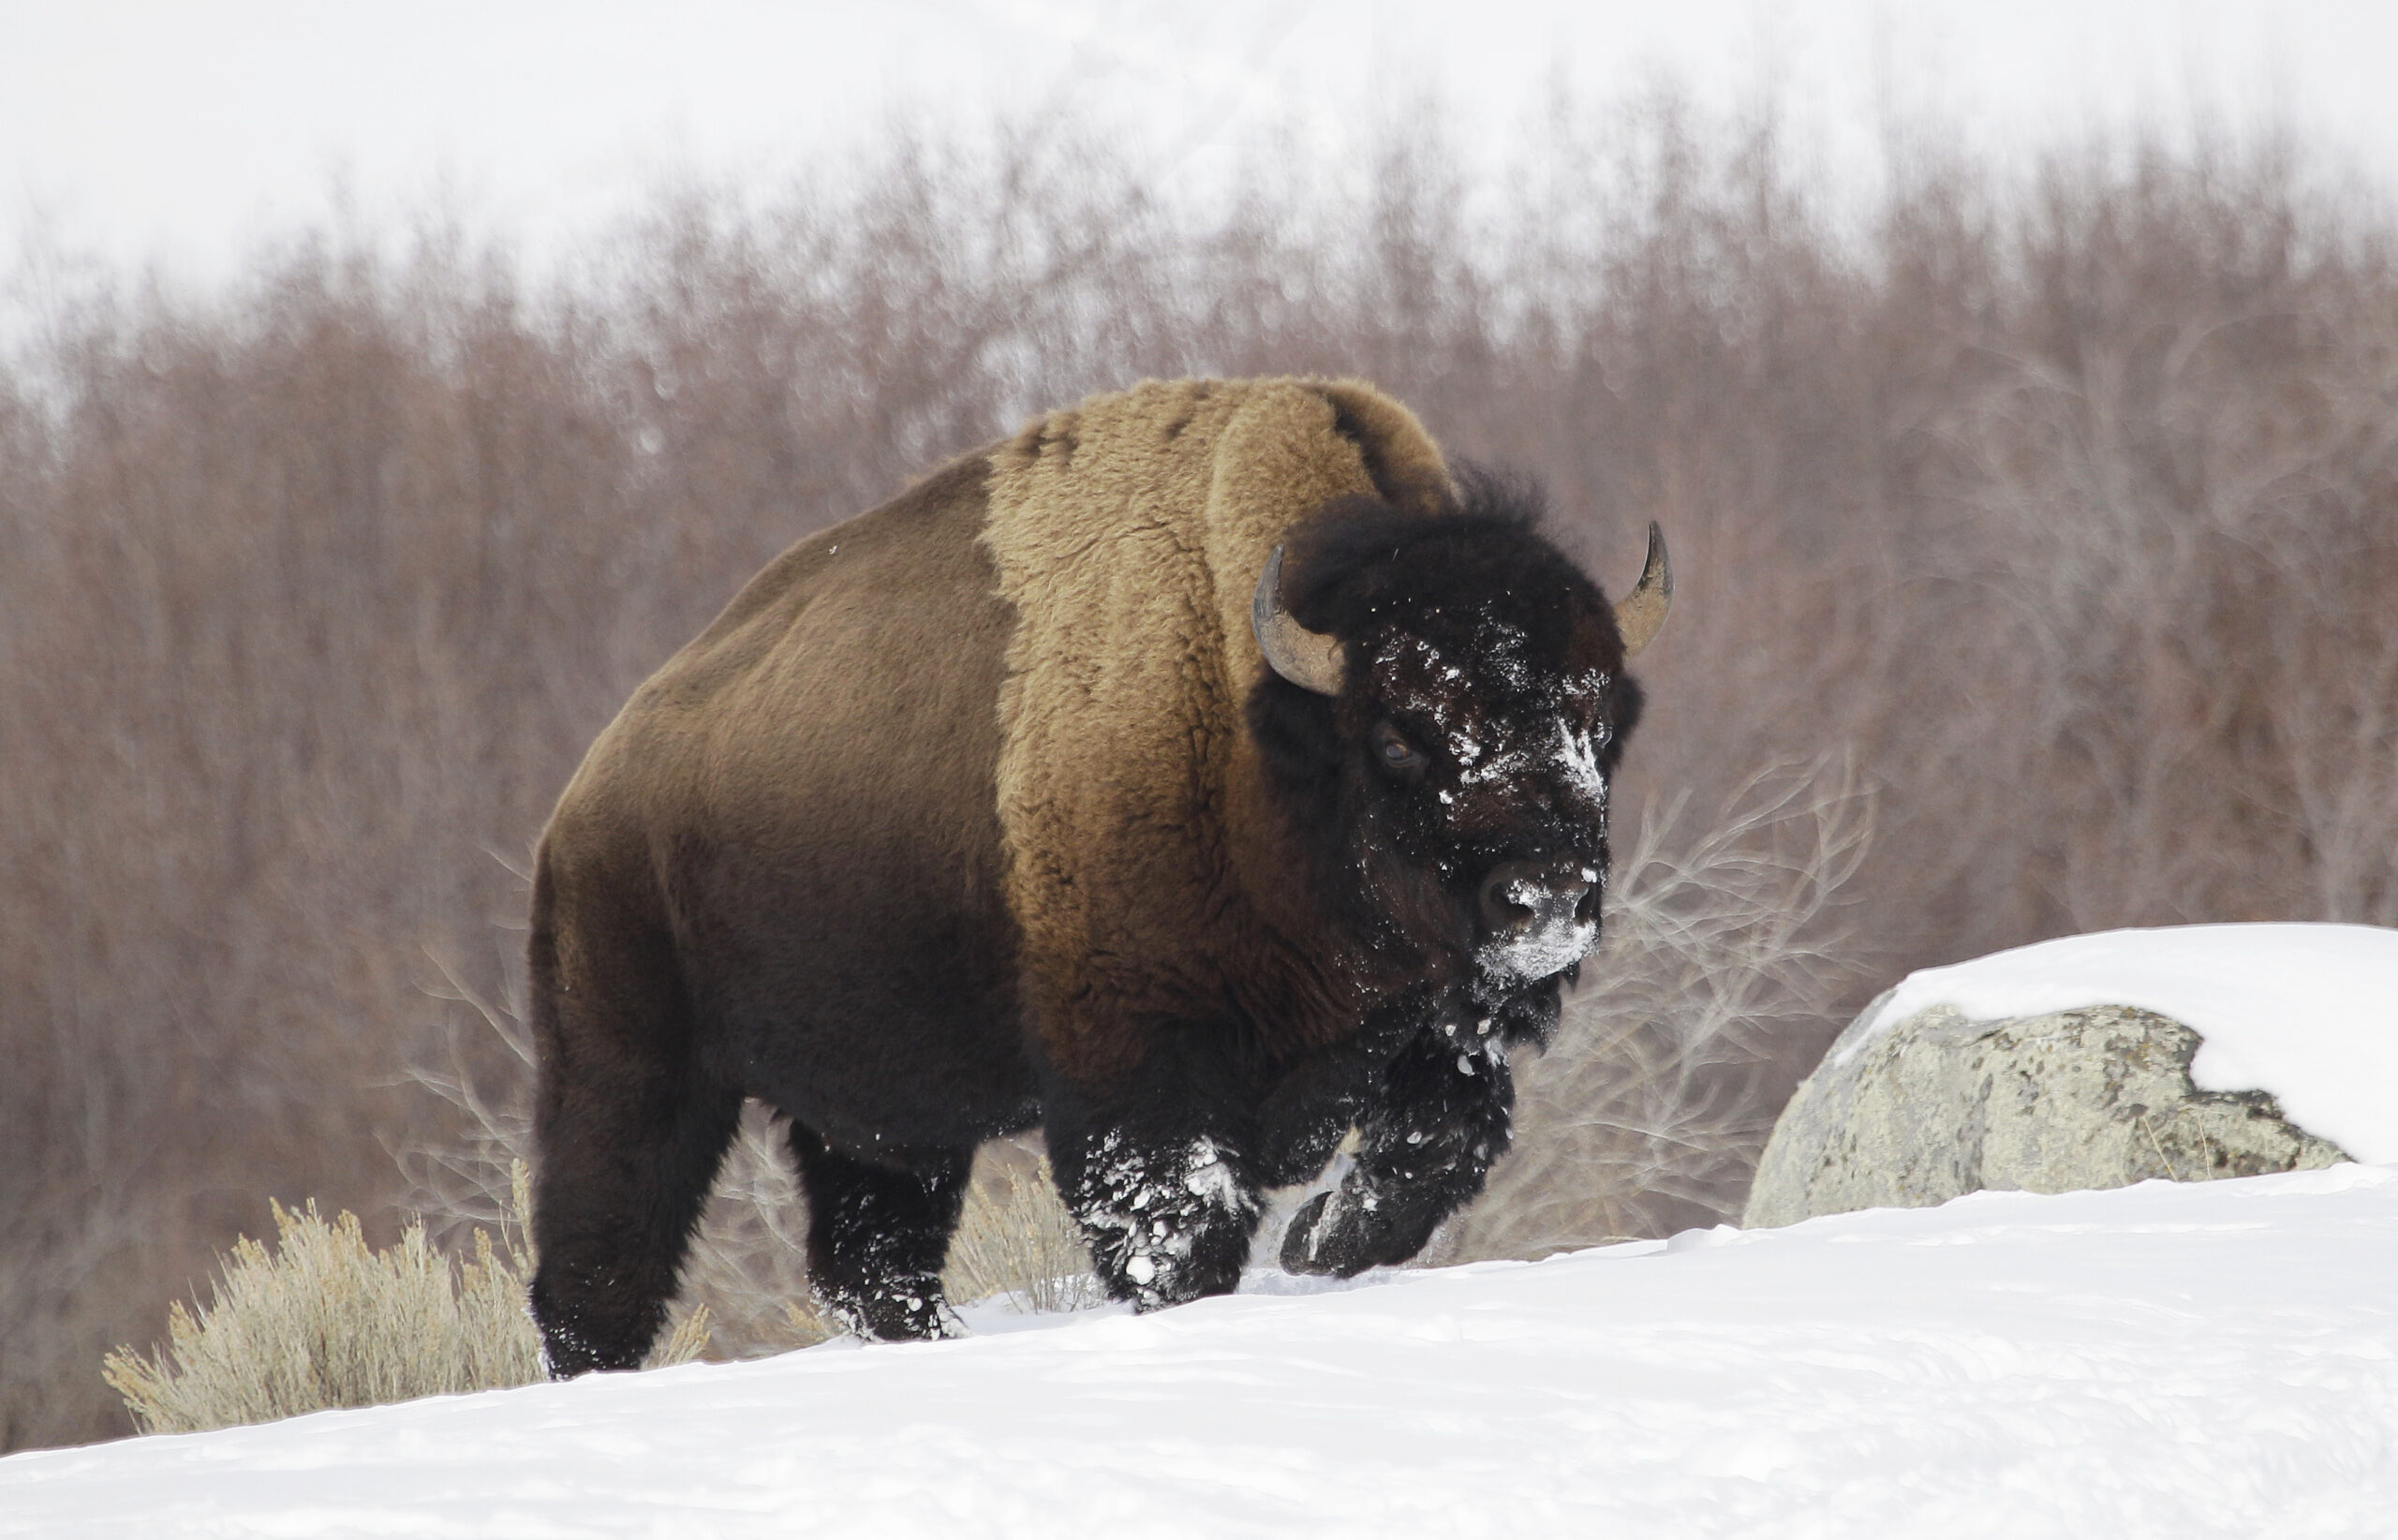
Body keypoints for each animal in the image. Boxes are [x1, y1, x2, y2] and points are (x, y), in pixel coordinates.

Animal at [529, 374, 1668, 1362]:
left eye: (1596, 720)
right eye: (1398, 735)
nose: (1546, 898)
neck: (1260, 735)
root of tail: (584, 797)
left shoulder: (1430, 1028)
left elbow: (1436, 1146)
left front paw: (1315, 1244)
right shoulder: (1138, 1067)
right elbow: (1179, 1229)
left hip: (877, 1126)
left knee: (870, 1262)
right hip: (630, 1073)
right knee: (599, 1268)